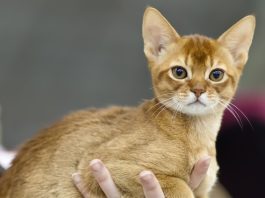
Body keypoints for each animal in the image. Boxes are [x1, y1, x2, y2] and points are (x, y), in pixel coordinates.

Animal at [0, 6, 254, 197]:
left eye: (216, 74)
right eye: (179, 72)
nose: (199, 90)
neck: (198, 136)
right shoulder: (107, 164)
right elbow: (181, 187)